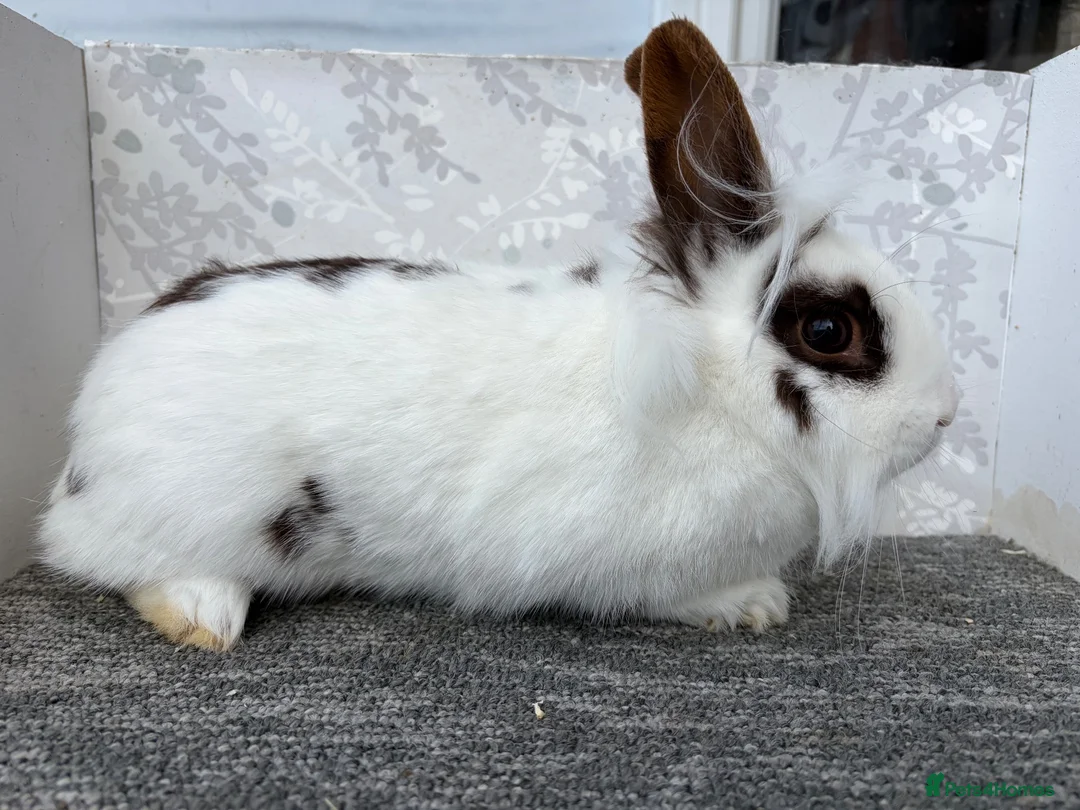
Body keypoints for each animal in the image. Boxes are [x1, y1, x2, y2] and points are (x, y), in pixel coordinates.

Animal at [37, 18, 959, 651]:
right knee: (117, 562)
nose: (946, 416)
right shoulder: (607, 561)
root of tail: (81, 445)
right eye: (828, 328)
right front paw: (754, 605)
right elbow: (664, 594)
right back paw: (204, 616)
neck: (712, 391)